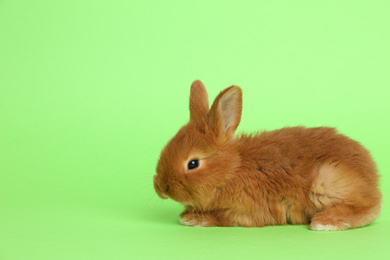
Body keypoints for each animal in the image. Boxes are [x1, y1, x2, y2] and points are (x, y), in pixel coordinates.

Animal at [152, 80, 380, 231]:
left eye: (193, 163)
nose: (161, 187)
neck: (231, 170)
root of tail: (374, 180)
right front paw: (186, 214)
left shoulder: (246, 211)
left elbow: (222, 216)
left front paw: (194, 220)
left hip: (326, 184)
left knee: (367, 209)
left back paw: (325, 222)